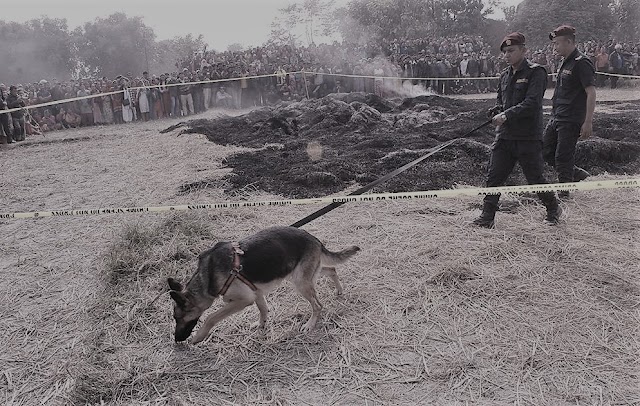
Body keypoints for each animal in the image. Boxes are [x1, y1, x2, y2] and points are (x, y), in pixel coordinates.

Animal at [168, 225, 360, 342]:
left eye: (178, 318)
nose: (176, 340)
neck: (207, 275)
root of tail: (314, 238)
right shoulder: (256, 293)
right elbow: (263, 309)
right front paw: (261, 325)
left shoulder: (243, 300)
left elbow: (211, 317)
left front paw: (198, 336)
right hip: (303, 275)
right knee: (332, 269)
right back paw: (339, 290)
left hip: (301, 282)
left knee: (318, 305)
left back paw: (310, 324)